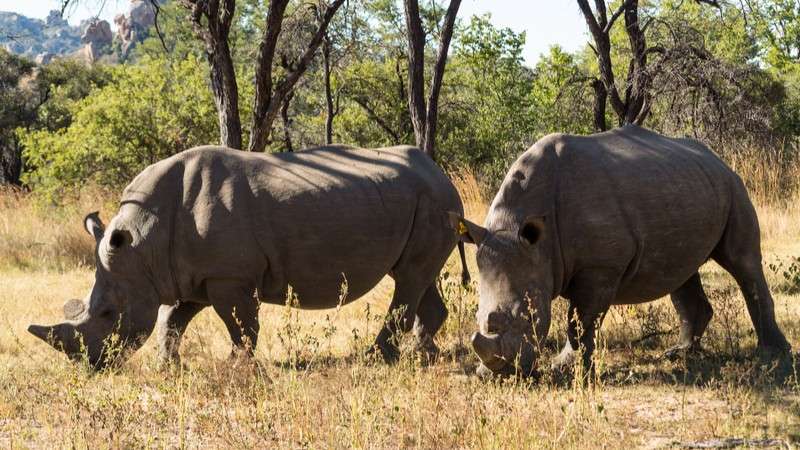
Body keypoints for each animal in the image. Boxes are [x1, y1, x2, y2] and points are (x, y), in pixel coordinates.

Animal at [28, 145, 469, 368]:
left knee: (409, 279)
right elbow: (172, 319)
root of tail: (439, 172)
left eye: (108, 314)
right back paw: (424, 355)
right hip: (425, 203)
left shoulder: (230, 276)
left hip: (433, 202)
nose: (90, 366)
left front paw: (237, 367)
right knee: (415, 276)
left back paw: (378, 359)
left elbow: (240, 325)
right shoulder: (191, 275)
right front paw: (169, 367)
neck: (144, 242)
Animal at [452, 125, 791, 377]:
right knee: (681, 272)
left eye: (529, 318)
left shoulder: (601, 267)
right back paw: (679, 353)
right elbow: (581, 321)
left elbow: (580, 321)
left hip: (733, 187)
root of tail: (717, 158)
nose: (500, 374)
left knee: (742, 262)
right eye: (478, 315)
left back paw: (773, 357)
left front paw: (565, 369)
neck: (530, 236)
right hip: (684, 185)